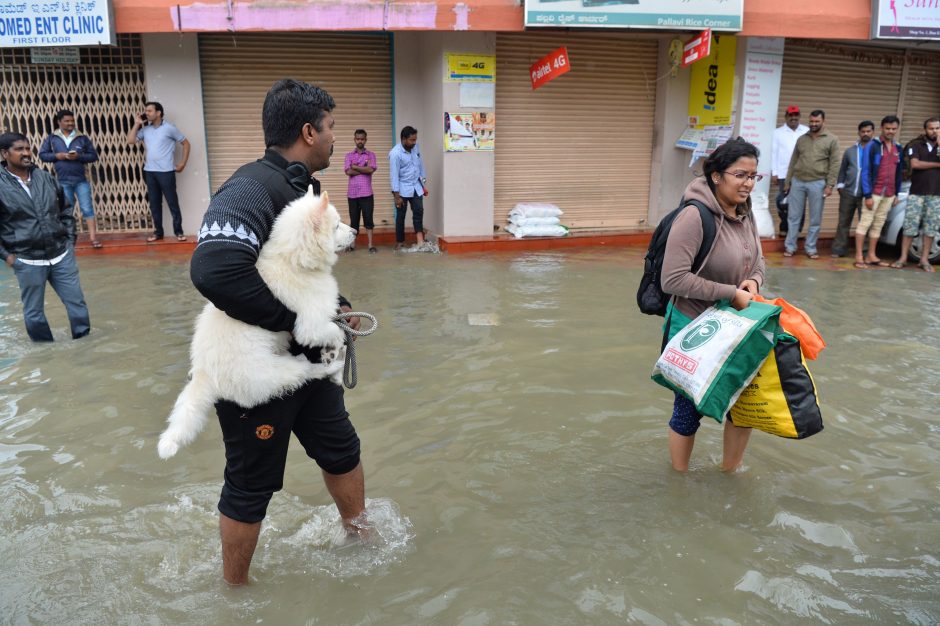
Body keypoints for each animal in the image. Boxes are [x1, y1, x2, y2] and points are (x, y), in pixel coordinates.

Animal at [158, 186, 356, 458]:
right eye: (336, 225)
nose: (356, 231)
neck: (293, 260)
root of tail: (204, 373)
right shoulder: (310, 325)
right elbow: (336, 331)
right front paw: (335, 350)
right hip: (274, 373)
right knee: (306, 372)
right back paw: (331, 368)